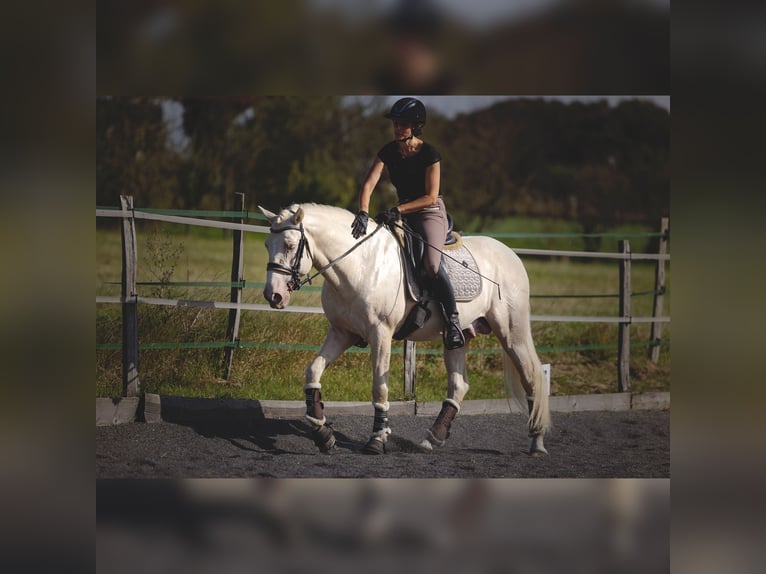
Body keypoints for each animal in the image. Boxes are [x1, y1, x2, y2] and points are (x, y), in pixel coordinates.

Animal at [260, 205, 548, 456]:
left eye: (289, 245)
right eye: (266, 245)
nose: (273, 296)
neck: (360, 264)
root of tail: (510, 254)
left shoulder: (381, 334)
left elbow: (379, 388)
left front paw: (377, 440)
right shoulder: (342, 333)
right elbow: (313, 371)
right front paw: (322, 432)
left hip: (512, 333)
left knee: (532, 377)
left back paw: (537, 441)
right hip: (459, 336)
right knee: (459, 385)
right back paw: (433, 438)